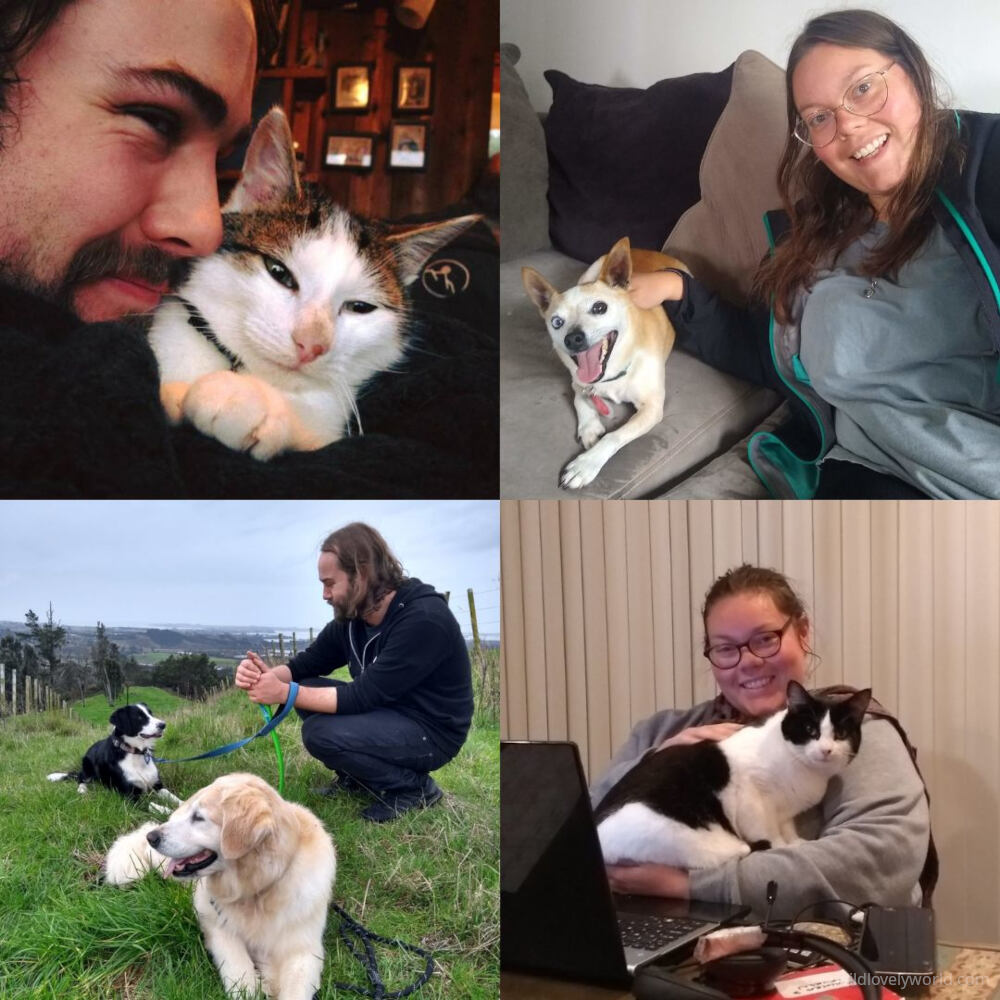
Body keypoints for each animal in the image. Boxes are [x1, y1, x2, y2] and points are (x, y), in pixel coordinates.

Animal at [524, 238, 688, 488]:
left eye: (599, 307)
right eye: (556, 322)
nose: (572, 338)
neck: (611, 374)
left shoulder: (652, 408)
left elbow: (615, 435)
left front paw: (586, 464)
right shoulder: (579, 383)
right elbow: (580, 398)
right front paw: (589, 428)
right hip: (590, 271)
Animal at [592, 684, 868, 872]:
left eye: (841, 734)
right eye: (810, 730)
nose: (826, 750)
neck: (802, 769)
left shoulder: (785, 812)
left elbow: (786, 827)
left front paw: (794, 842)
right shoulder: (752, 798)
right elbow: (768, 831)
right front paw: (783, 846)